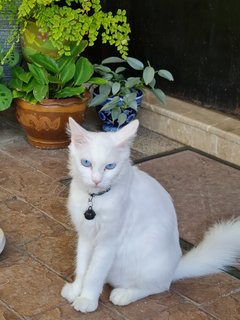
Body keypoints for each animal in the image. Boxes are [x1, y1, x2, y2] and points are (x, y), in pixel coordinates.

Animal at [61, 117, 240, 312]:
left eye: (110, 166)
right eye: (86, 163)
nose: (96, 180)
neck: (94, 199)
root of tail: (175, 267)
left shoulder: (108, 242)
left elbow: (94, 273)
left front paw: (87, 299)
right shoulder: (86, 235)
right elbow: (82, 267)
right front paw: (76, 290)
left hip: (148, 267)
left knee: (158, 287)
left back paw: (123, 294)